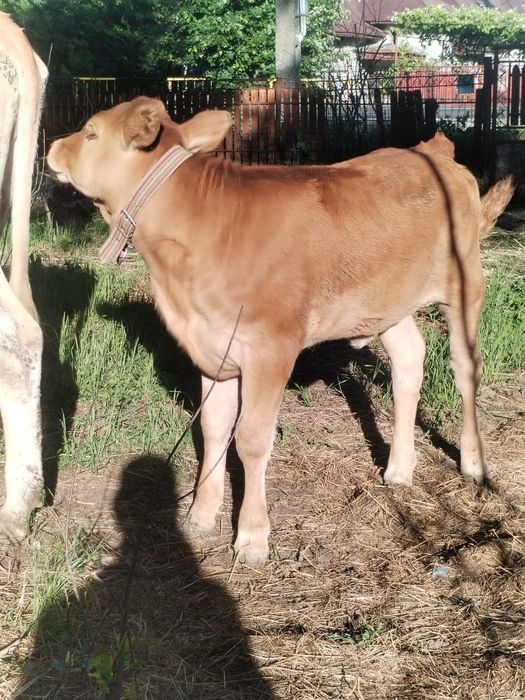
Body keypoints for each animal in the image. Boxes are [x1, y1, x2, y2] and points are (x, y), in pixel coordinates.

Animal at [47, 97, 513, 565]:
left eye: (90, 133)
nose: (52, 147)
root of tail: (431, 151)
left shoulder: (270, 350)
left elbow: (252, 440)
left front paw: (253, 535)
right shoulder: (212, 349)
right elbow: (214, 429)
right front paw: (201, 512)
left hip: (466, 285)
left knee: (465, 368)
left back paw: (474, 463)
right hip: (388, 300)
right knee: (409, 360)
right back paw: (399, 467)